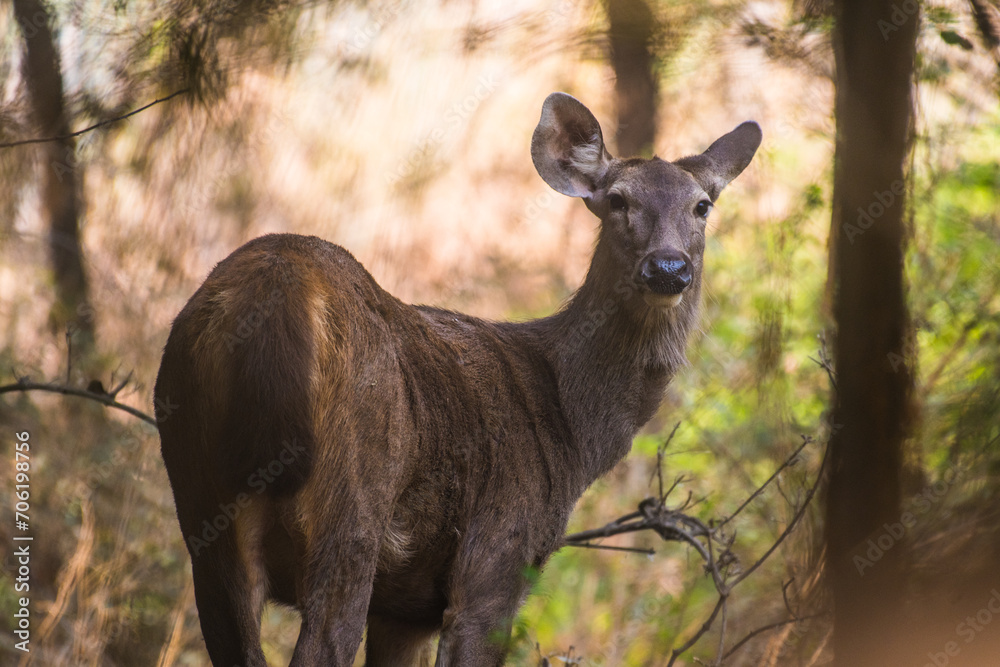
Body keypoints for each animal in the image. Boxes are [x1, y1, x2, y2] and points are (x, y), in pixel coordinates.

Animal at [154, 92, 760, 666]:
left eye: (701, 205)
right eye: (617, 200)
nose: (668, 268)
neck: (571, 431)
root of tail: (273, 283)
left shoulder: (404, 608)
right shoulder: (495, 560)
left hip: (200, 504)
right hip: (354, 500)